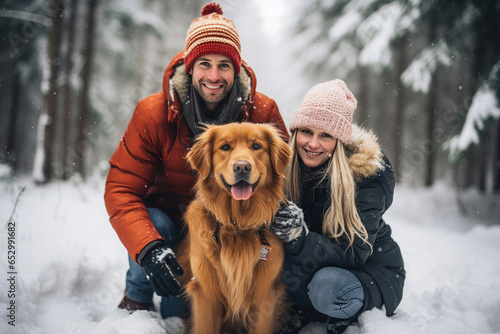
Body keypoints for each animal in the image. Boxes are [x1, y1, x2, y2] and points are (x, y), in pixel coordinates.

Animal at [178, 122, 292, 334]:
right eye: (225, 147)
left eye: (256, 146)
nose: (242, 167)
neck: (238, 224)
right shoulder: (206, 295)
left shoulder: (264, 296)